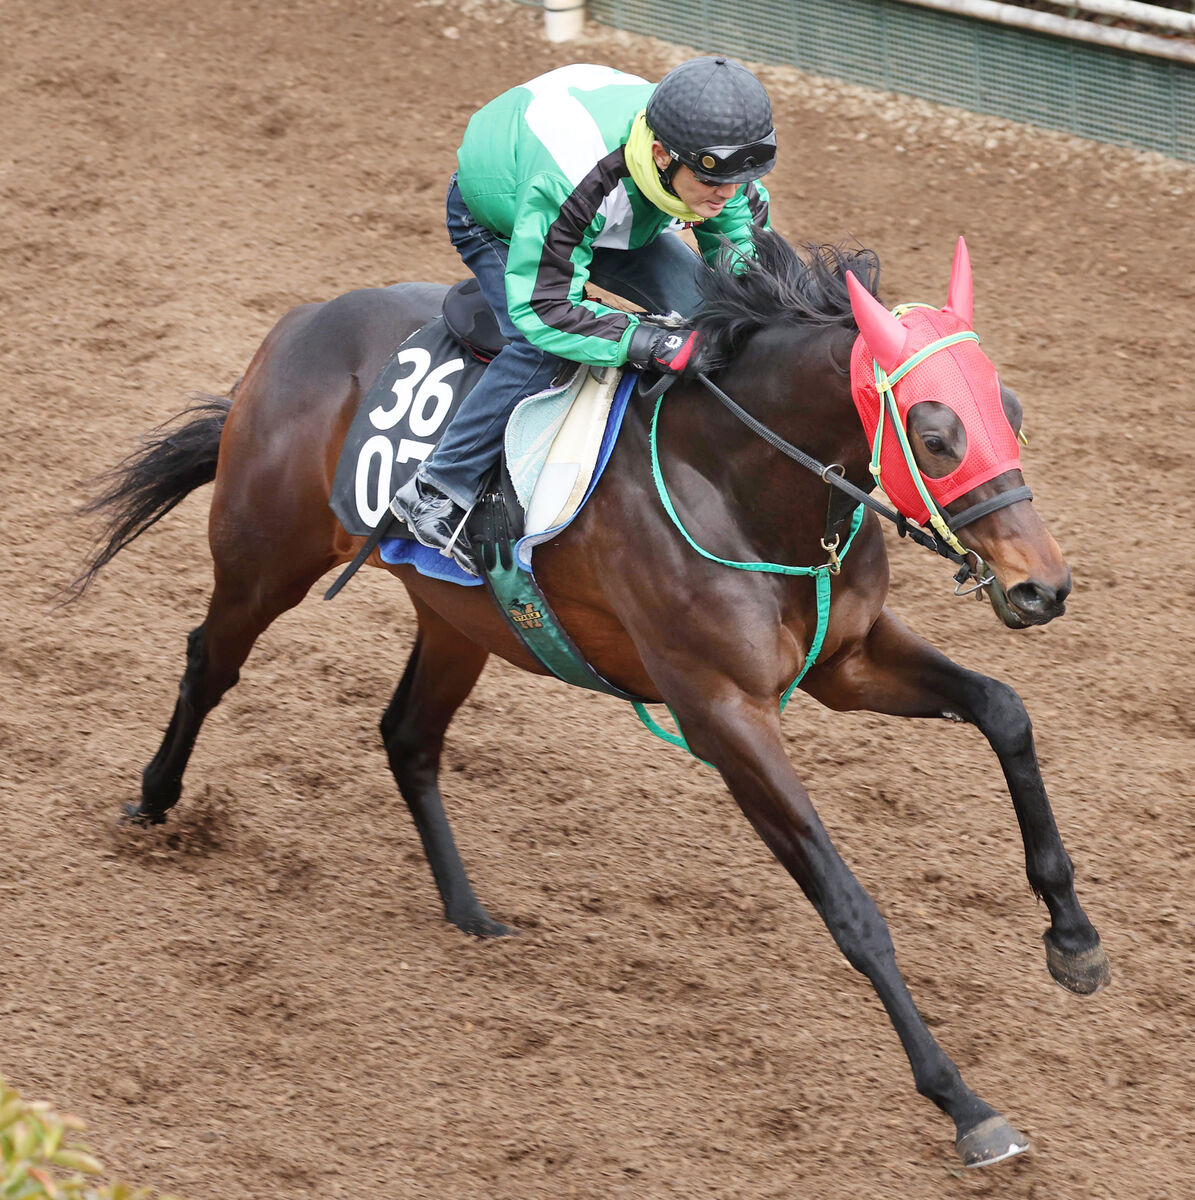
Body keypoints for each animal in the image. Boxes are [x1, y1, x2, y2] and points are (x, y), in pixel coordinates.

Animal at [67, 231, 1108, 1161]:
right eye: (935, 435)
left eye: (1011, 410)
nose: (1042, 587)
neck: (738, 479)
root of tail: (299, 324)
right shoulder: (722, 712)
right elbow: (849, 906)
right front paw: (962, 1101)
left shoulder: (842, 662)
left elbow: (1004, 711)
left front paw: (1072, 938)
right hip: (264, 558)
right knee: (211, 660)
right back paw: (153, 804)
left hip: (461, 620)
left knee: (407, 735)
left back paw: (469, 911)